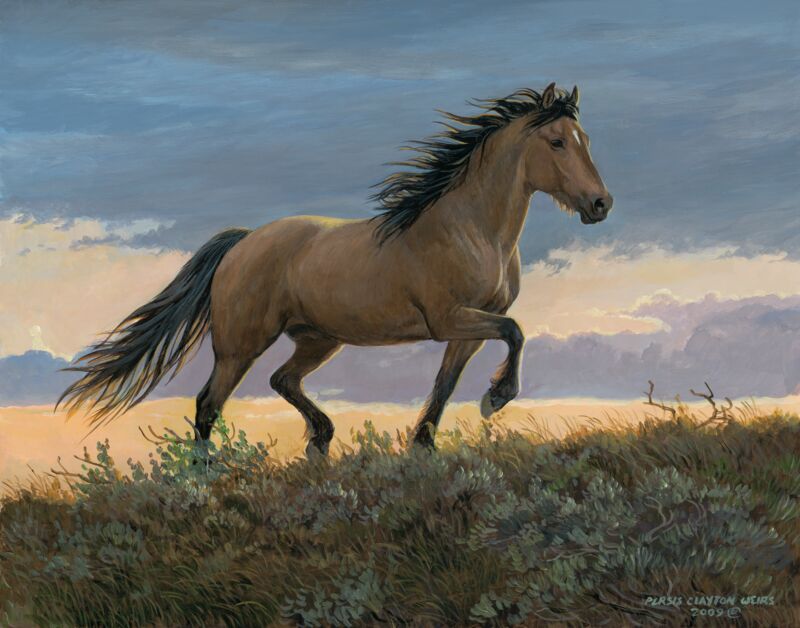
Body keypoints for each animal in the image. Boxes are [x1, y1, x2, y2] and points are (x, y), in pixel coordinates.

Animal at [57, 82, 612, 455]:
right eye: (557, 142)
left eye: (586, 138)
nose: (600, 204)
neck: (472, 228)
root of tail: (242, 242)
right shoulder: (450, 319)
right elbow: (515, 331)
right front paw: (496, 398)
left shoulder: (467, 330)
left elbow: (447, 382)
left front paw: (426, 444)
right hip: (240, 345)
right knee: (208, 404)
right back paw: (206, 474)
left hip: (319, 339)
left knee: (282, 381)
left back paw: (320, 439)